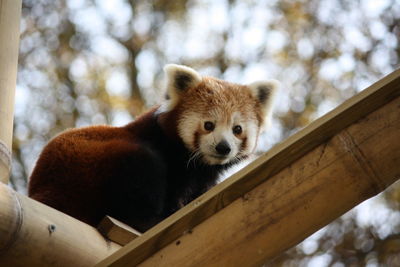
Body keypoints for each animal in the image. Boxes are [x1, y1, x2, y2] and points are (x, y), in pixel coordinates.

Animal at [28, 64, 278, 232]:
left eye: (237, 129)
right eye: (209, 125)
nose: (223, 147)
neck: (198, 164)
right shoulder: (172, 162)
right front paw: (172, 211)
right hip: (93, 165)